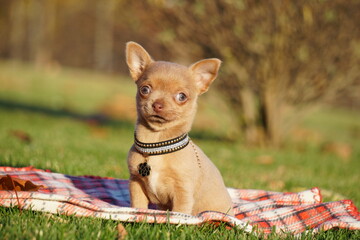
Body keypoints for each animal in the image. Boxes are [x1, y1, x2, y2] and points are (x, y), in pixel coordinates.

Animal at [126, 41, 233, 216]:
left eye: (182, 96)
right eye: (144, 89)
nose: (157, 104)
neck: (156, 144)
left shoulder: (182, 190)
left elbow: (180, 212)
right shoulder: (136, 182)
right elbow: (138, 205)